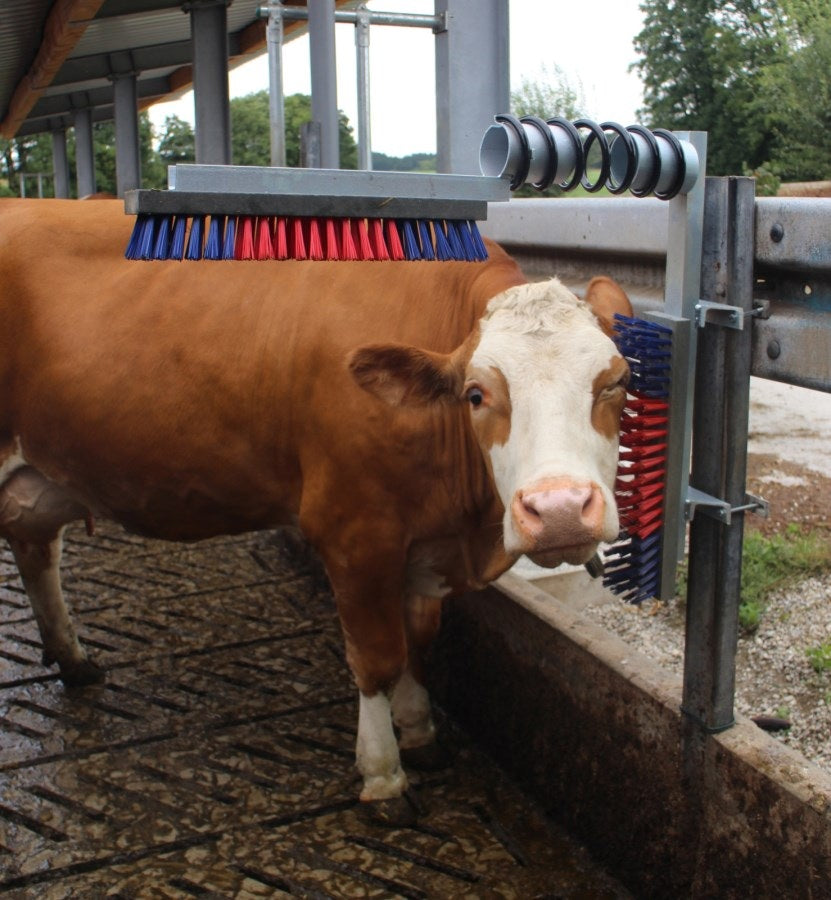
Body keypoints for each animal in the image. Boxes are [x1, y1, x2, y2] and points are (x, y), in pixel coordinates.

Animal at [0, 198, 632, 820]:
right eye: (476, 394)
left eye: (617, 383)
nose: (559, 509)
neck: (464, 528)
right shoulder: (354, 533)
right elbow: (378, 657)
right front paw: (383, 774)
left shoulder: (422, 542)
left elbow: (417, 641)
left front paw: (419, 732)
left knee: (35, 548)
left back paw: (73, 659)